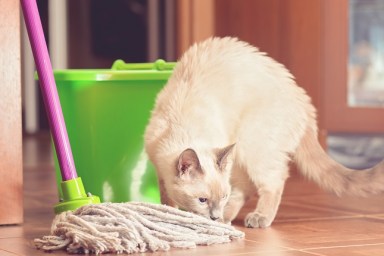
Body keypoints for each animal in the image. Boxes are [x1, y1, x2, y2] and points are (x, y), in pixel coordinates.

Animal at [144, 36, 384, 228]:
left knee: (274, 182)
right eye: (202, 200)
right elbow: (166, 198)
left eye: (222, 197)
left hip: (252, 146)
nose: (213, 217)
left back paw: (255, 218)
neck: (182, 128)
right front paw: (170, 214)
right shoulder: (160, 170)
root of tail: (302, 99)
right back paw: (230, 219)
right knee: (247, 189)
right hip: (240, 156)